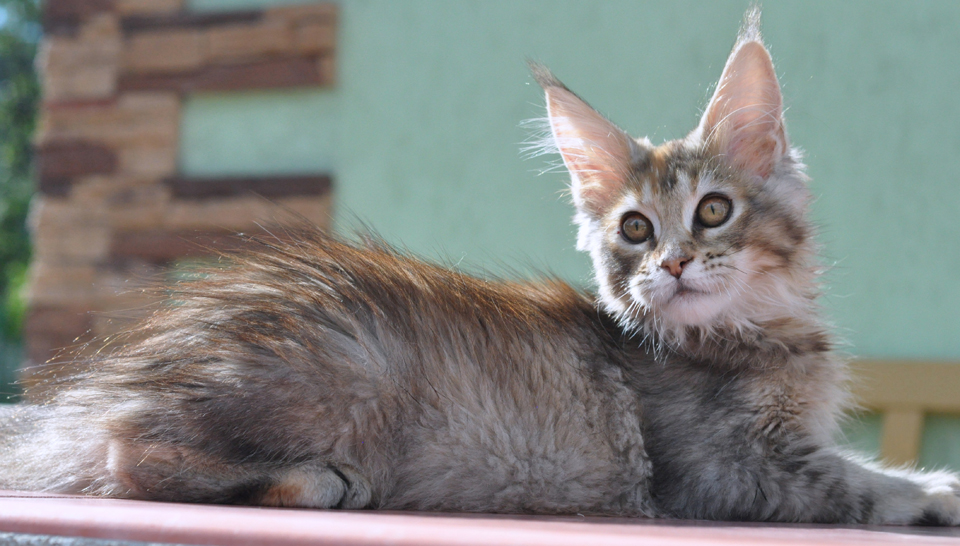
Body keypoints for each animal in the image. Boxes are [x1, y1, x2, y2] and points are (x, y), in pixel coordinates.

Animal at [1, 10, 960, 524]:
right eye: (636, 229)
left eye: (713, 211)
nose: (676, 264)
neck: (751, 335)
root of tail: (118, 378)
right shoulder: (728, 472)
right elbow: (864, 483)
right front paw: (938, 490)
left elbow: (864, 462)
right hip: (343, 365)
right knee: (131, 456)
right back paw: (314, 478)